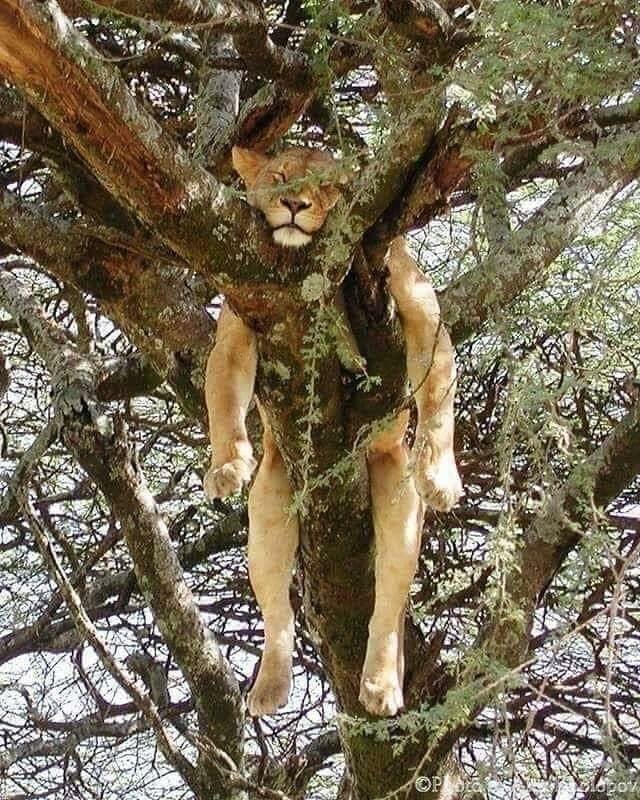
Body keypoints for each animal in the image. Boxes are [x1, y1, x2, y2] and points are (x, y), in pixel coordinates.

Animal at [203, 146, 463, 717]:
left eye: (329, 188)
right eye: (279, 178)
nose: (295, 205)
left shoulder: (419, 307)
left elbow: (437, 396)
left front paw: (441, 477)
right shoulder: (239, 319)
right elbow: (222, 397)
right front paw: (226, 464)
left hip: (395, 496)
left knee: (387, 603)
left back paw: (382, 684)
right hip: (273, 497)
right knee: (277, 610)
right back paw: (270, 684)